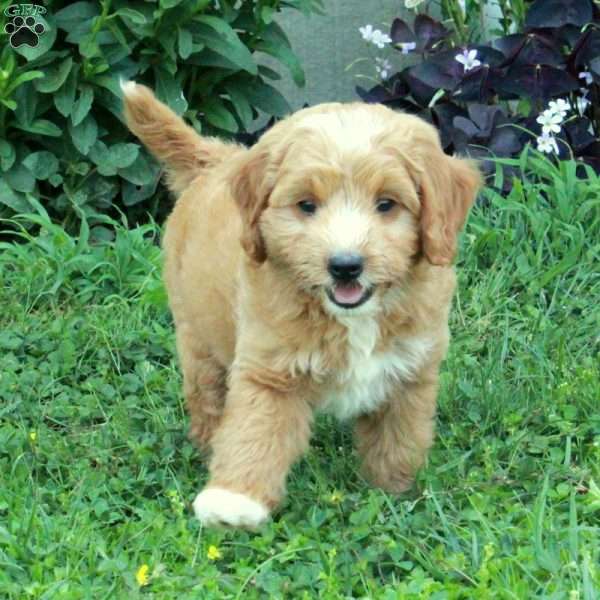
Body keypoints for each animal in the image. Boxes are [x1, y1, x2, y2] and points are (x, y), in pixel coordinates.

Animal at [123, 82, 482, 528]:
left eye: (386, 204)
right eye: (307, 205)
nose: (345, 266)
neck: (352, 318)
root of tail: (218, 158)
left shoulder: (411, 372)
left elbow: (398, 437)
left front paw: (395, 491)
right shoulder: (269, 371)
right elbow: (254, 434)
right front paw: (233, 502)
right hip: (195, 331)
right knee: (206, 393)